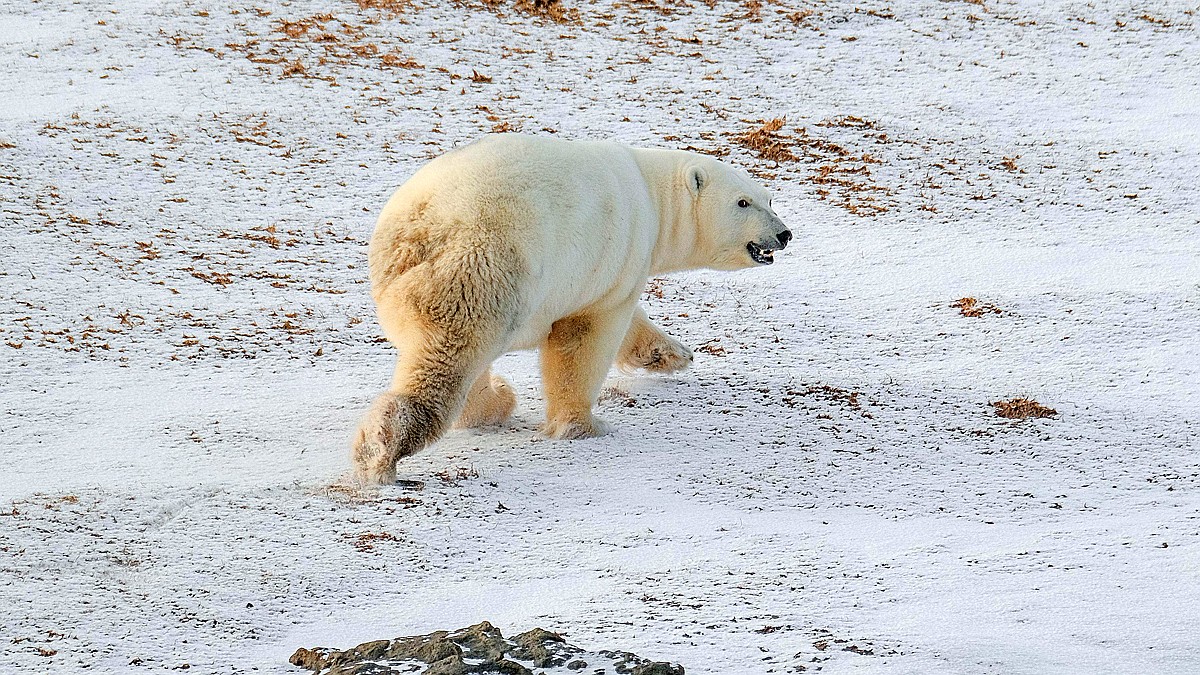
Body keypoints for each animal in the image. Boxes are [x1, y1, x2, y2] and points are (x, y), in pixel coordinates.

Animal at [350, 133, 792, 480]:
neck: (652, 194)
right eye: (742, 202)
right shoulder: (613, 256)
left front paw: (671, 354)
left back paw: (494, 402)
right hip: (485, 270)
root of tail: (419, 231)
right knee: (449, 361)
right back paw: (381, 449)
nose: (784, 233)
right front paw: (584, 425)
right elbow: (586, 339)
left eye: (769, 198)